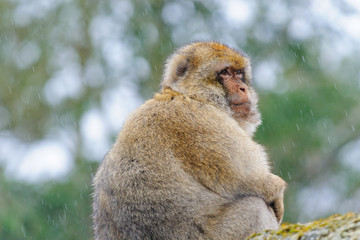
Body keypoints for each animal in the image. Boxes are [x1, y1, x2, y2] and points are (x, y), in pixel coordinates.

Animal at [93, 41, 286, 240]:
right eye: (225, 73)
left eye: (239, 73)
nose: (243, 88)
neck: (190, 95)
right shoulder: (202, 120)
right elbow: (247, 178)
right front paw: (277, 192)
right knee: (256, 208)